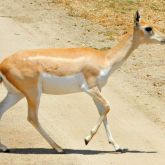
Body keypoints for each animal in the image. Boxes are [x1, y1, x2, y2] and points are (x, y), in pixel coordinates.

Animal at [0, 10, 165, 152]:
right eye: (148, 28)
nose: (163, 38)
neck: (105, 58)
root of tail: (3, 63)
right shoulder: (89, 88)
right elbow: (108, 106)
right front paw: (86, 139)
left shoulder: (97, 90)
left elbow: (103, 111)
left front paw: (118, 147)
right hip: (33, 93)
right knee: (32, 118)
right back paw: (58, 148)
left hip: (16, 94)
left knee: (2, 111)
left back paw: (5, 147)